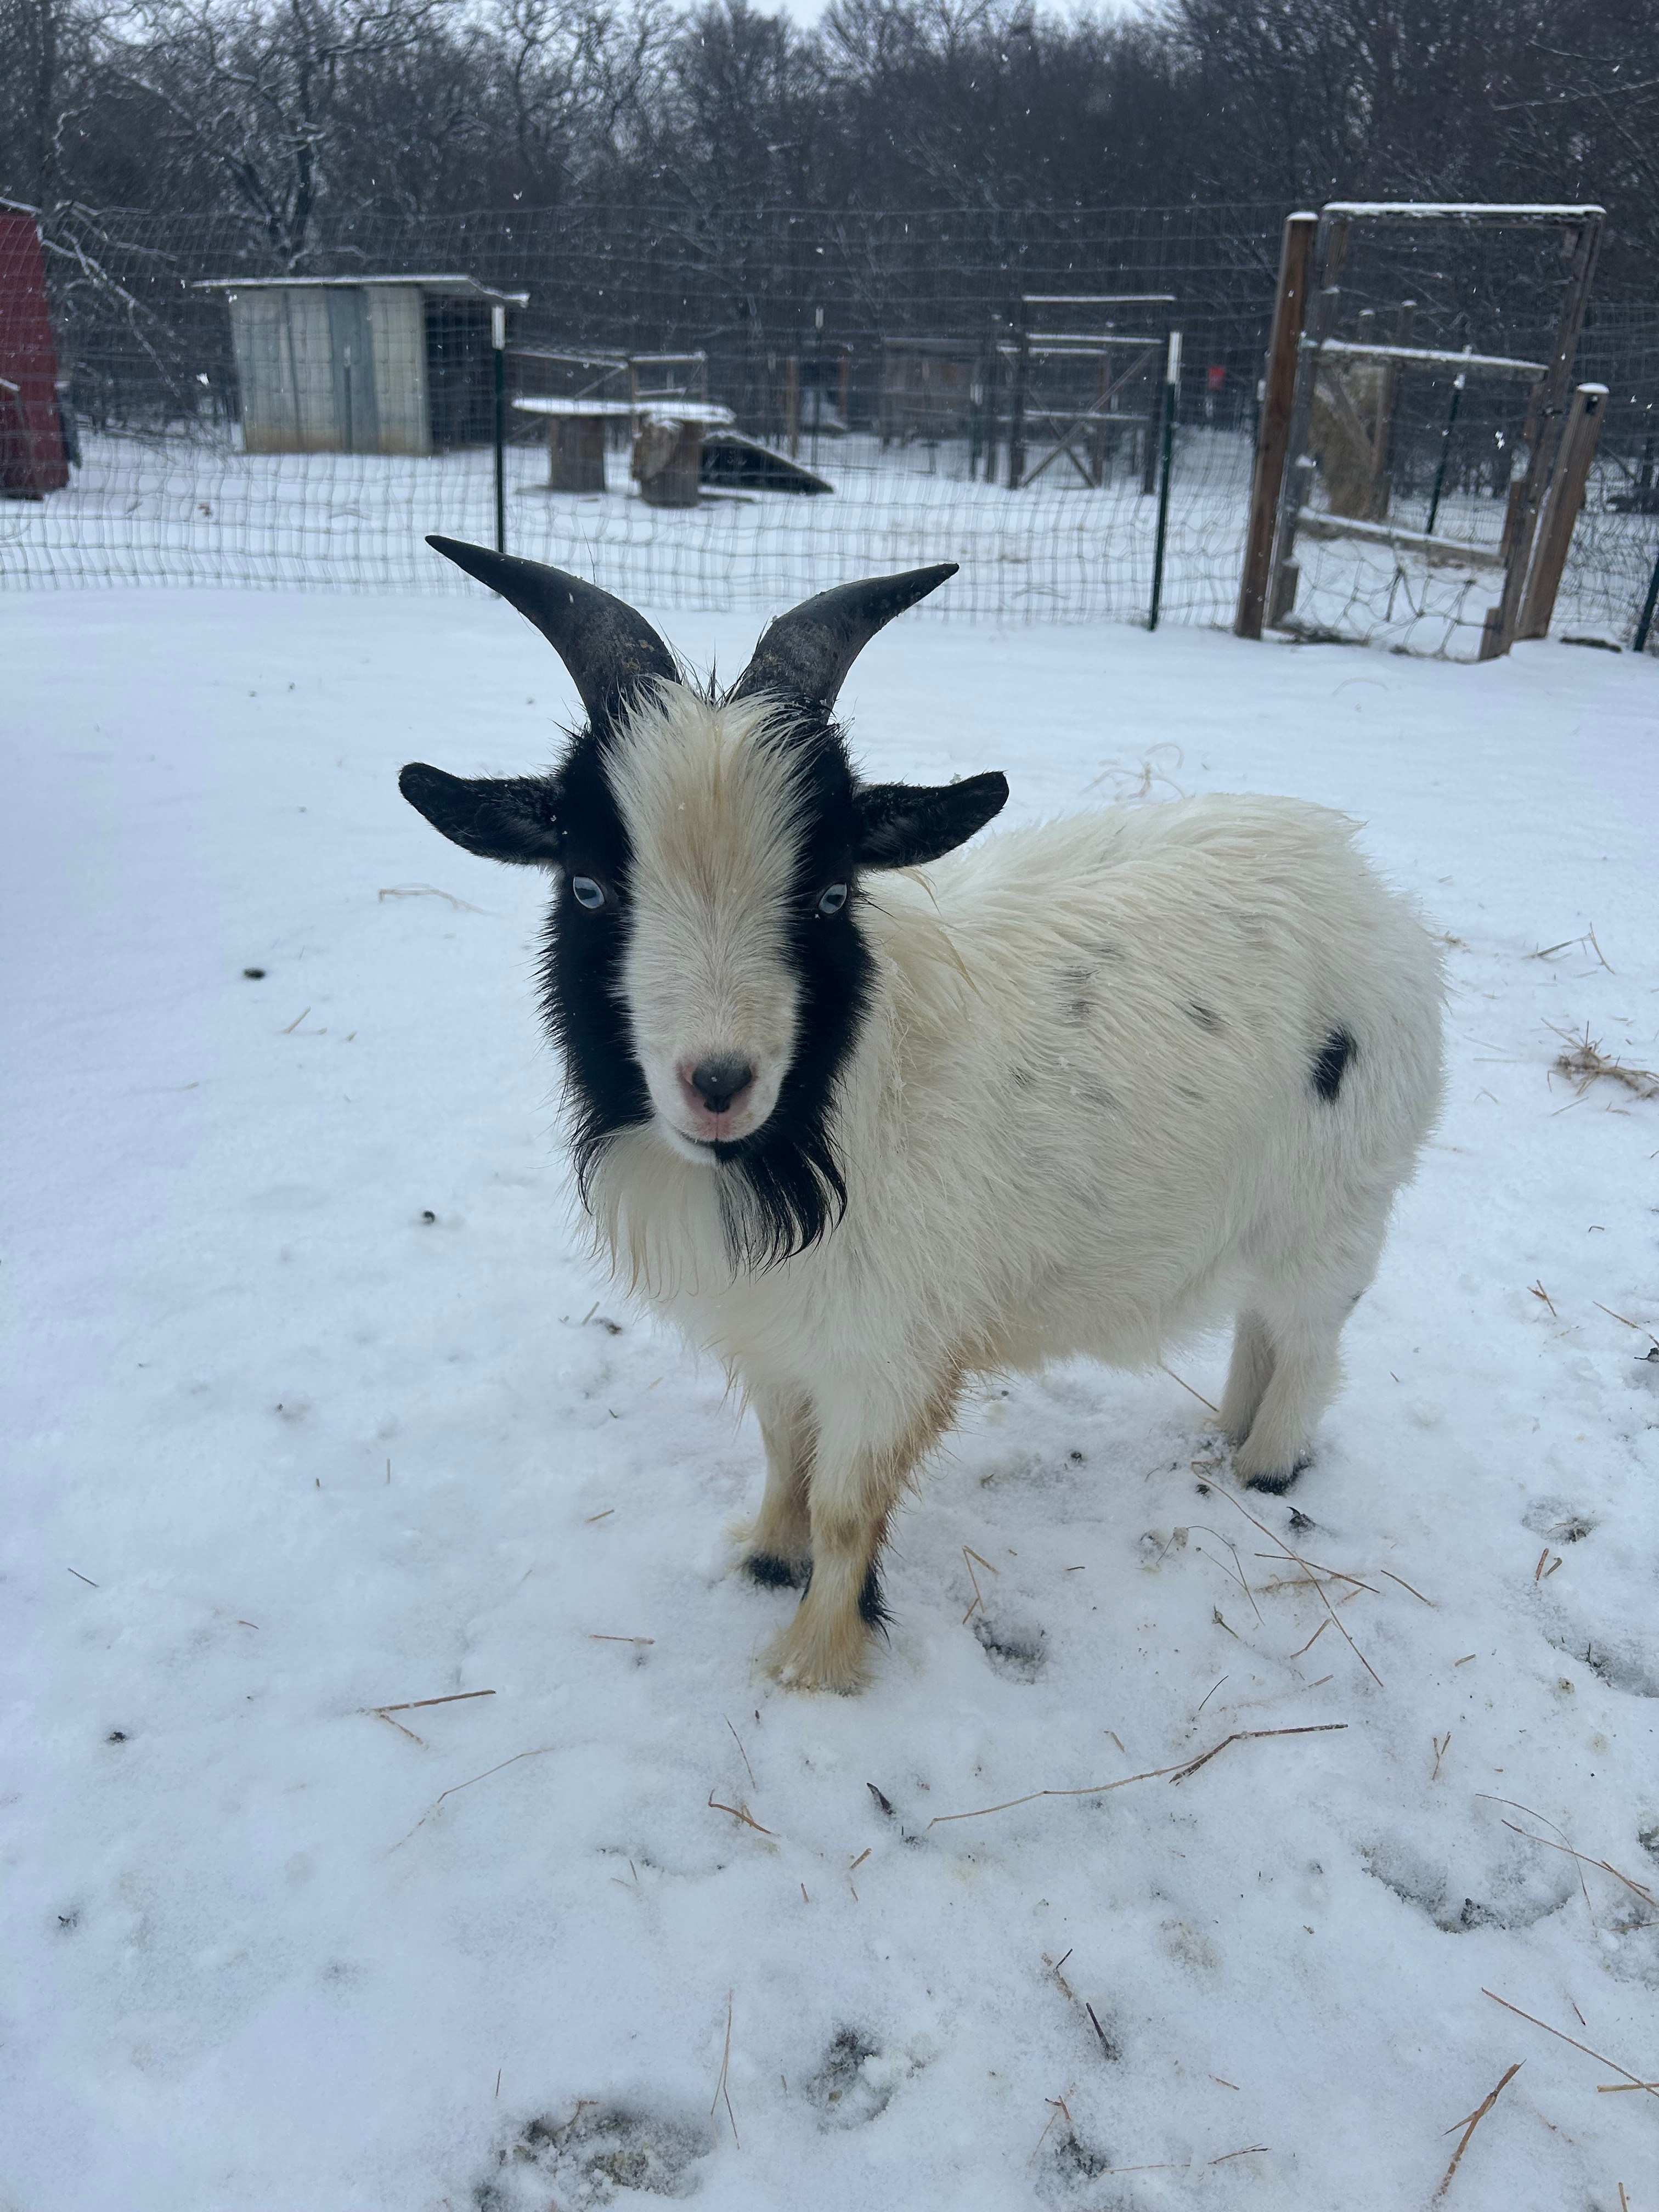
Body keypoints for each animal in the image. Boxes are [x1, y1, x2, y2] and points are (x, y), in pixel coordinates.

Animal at [400, 535, 1442, 1690]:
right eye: (587, 889)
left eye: (825, 897)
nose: (717, 1084)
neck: (825, 1109)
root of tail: (1363, 884)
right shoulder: (780, 1330)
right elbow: (784, 1452)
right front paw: (766, 1558)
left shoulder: (887, 1345)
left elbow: (847, 1504)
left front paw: (811, 1665)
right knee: (1257, 1328)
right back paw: (1219, 1439)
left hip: (1334, 1209)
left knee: (1304, 1343)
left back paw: (1261, 1468)